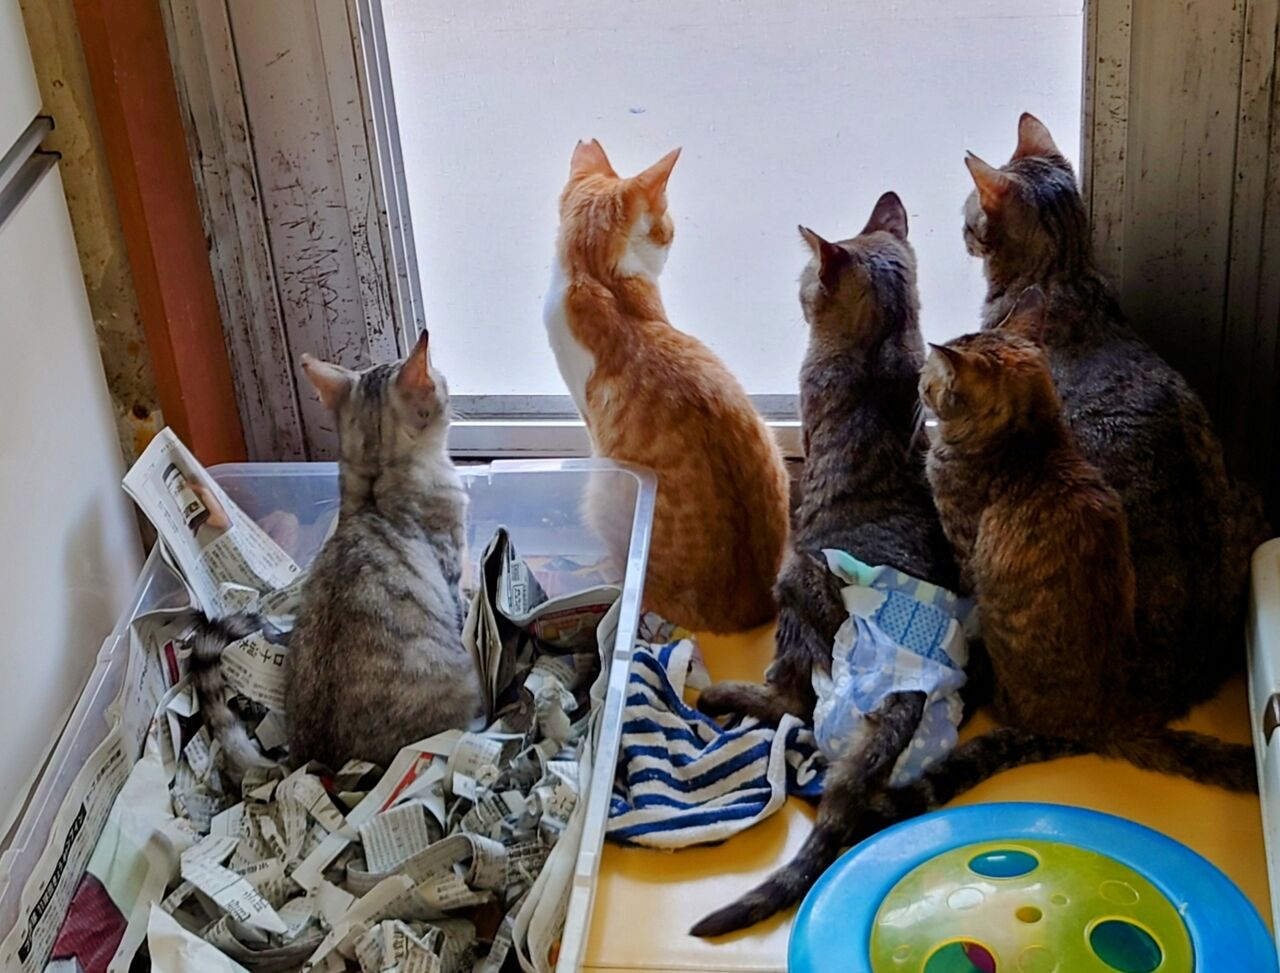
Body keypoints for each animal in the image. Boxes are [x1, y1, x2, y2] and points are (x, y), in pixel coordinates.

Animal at [283, 332, 482, 768]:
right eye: (440, 380)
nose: (449, 383)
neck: (377, 483)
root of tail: (322, 761)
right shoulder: (450, 565)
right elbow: (459, 602)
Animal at [690, 194, 960, 936]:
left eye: (809, 279)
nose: (799, 287)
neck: (883, 346)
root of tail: (909, 680)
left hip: (794, 582)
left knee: (790, 700)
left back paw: (725, 695)